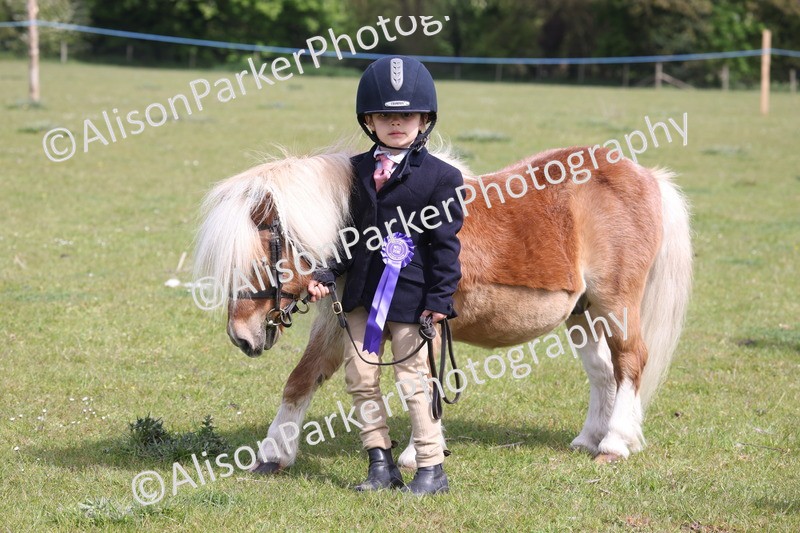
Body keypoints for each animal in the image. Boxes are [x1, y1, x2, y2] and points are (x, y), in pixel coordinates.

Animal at [193, 144, 692, 472]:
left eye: (257, 262)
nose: (241, 336)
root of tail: (646, 175)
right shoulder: (344, 325)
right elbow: (303, 378)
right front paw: (274, 453)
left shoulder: (419, 323)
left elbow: (421, 383)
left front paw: (418, 455)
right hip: (582, 314)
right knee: (603, 373)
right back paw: (590, 438)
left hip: (615, 304)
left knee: (630, 362)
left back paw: (616, 442)